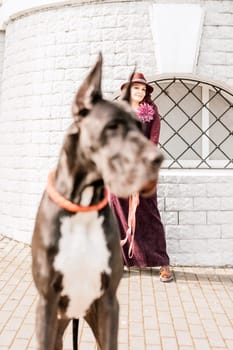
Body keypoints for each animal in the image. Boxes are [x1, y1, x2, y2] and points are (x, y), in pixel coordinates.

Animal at [31, 54, 163, 350]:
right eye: (112, 127)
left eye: (140, 127)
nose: (157, 159)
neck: (83, 206)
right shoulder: (47, 303)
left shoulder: (108, 303)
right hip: (58, 327)